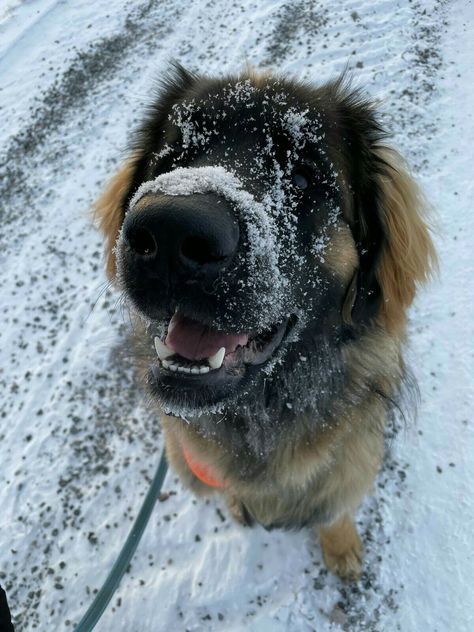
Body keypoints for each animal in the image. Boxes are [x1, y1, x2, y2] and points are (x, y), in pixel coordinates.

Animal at [93, 66, 436, 580]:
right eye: (173, 159)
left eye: (301, 177)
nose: (171, 232)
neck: (261, 410)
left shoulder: (350, 464)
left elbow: (334, 511)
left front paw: (341, 549)